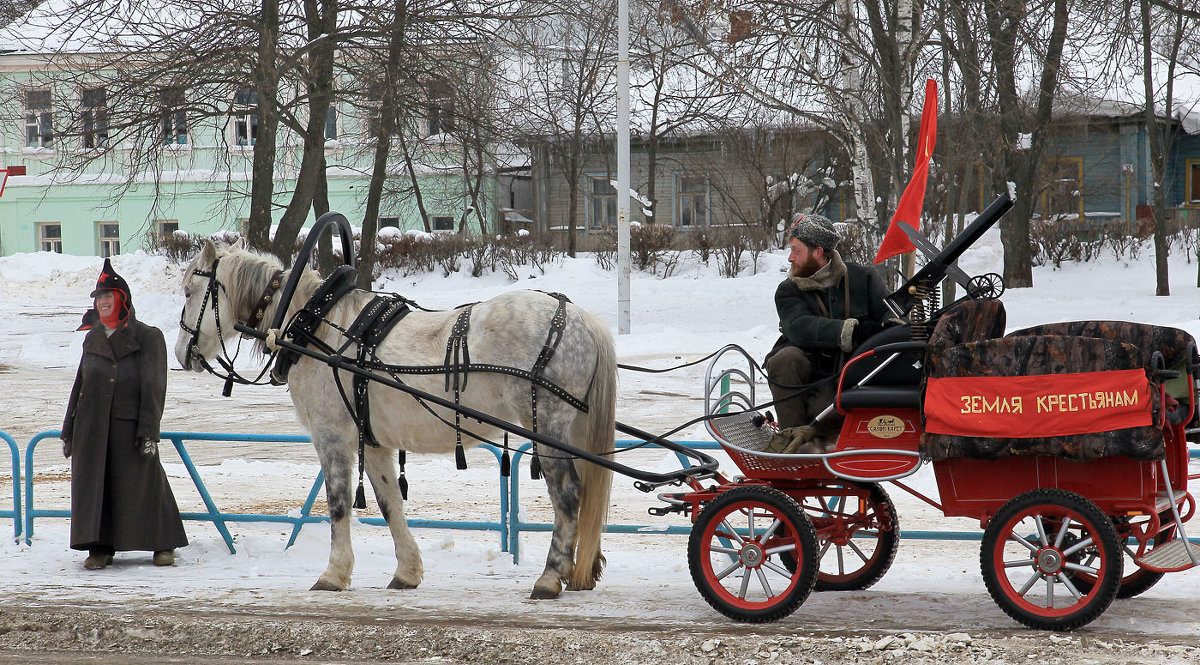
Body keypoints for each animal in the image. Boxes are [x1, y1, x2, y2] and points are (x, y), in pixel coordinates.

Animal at [175, 241, 619, 597]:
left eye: (190, 291)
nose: (183, 352)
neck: (317, 327)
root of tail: (581, 319)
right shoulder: (372, 441)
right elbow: (390, 504)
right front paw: (407, 571)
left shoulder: (331, 436)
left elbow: (339, 504)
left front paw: (334, 574)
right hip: (572, 430)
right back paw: (584, 569)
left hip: (546, 427)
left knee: (569, 497)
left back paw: (550, 577)